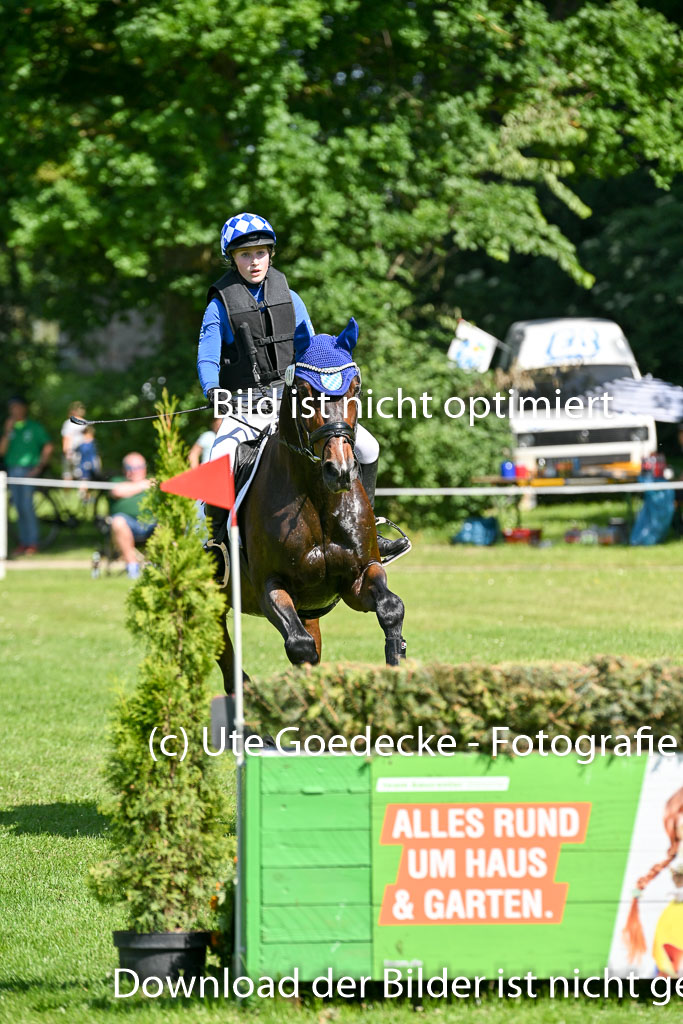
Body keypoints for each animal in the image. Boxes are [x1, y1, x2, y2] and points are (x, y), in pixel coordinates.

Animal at [213, 330, 406, 695]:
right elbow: (300, 647)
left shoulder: (357, 577)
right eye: (304, 393)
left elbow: (391, 608)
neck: (318, 498)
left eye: (355, 388)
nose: (340, 471)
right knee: (223, 651)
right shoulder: (270, 587)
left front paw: (396, 662)